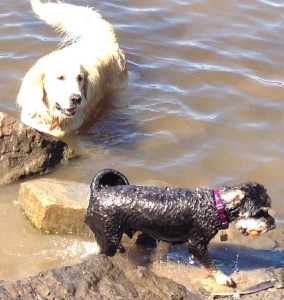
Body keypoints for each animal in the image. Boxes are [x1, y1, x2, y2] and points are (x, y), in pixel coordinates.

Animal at [84, 169, 276, 286]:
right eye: (259, 212)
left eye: (267, 210)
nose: (273, 224)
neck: (215, 206)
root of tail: (98, 192)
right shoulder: (197, 244)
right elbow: (210, 264)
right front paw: (223, 278)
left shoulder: (166, 239)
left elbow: (158, 255)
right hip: (109, 237)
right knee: (101, 251)